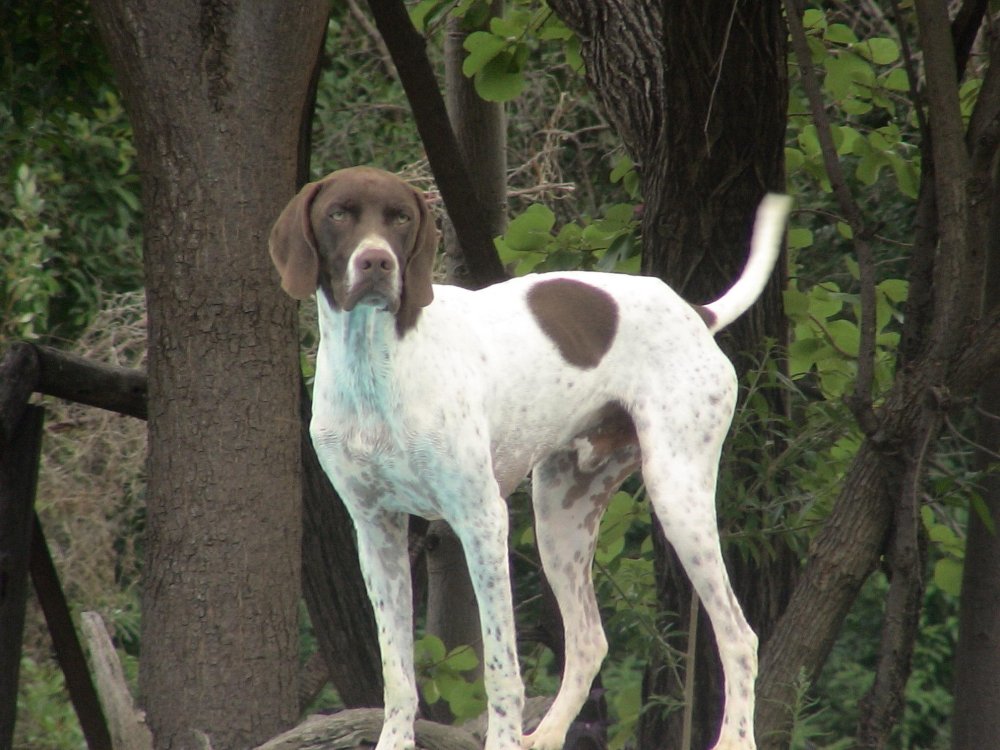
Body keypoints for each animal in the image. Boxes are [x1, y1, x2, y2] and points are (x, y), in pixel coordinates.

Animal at [268, 166, 788, 750]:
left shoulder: (481, 521)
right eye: (339, 213)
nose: (377, 262)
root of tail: (693, 311)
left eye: (400, 217)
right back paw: (547, 735)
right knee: (589, 640)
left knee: (738, 636)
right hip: (560, 519)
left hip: (678, 499)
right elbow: (397, 674)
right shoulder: (376, 531)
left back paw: (734, 739)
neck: (376, 365)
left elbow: (502, 670)